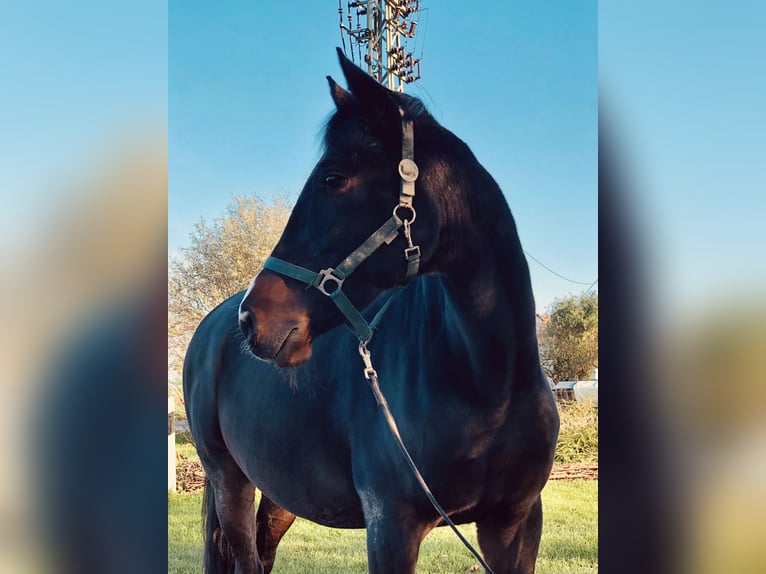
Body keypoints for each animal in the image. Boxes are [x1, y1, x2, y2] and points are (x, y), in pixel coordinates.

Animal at [184, 50, 560, 574]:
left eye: (333, 178)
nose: (251, 318)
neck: (487, 385)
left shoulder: (516, 525)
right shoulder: (391, 527)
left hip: (280, 490)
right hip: (227, 479)